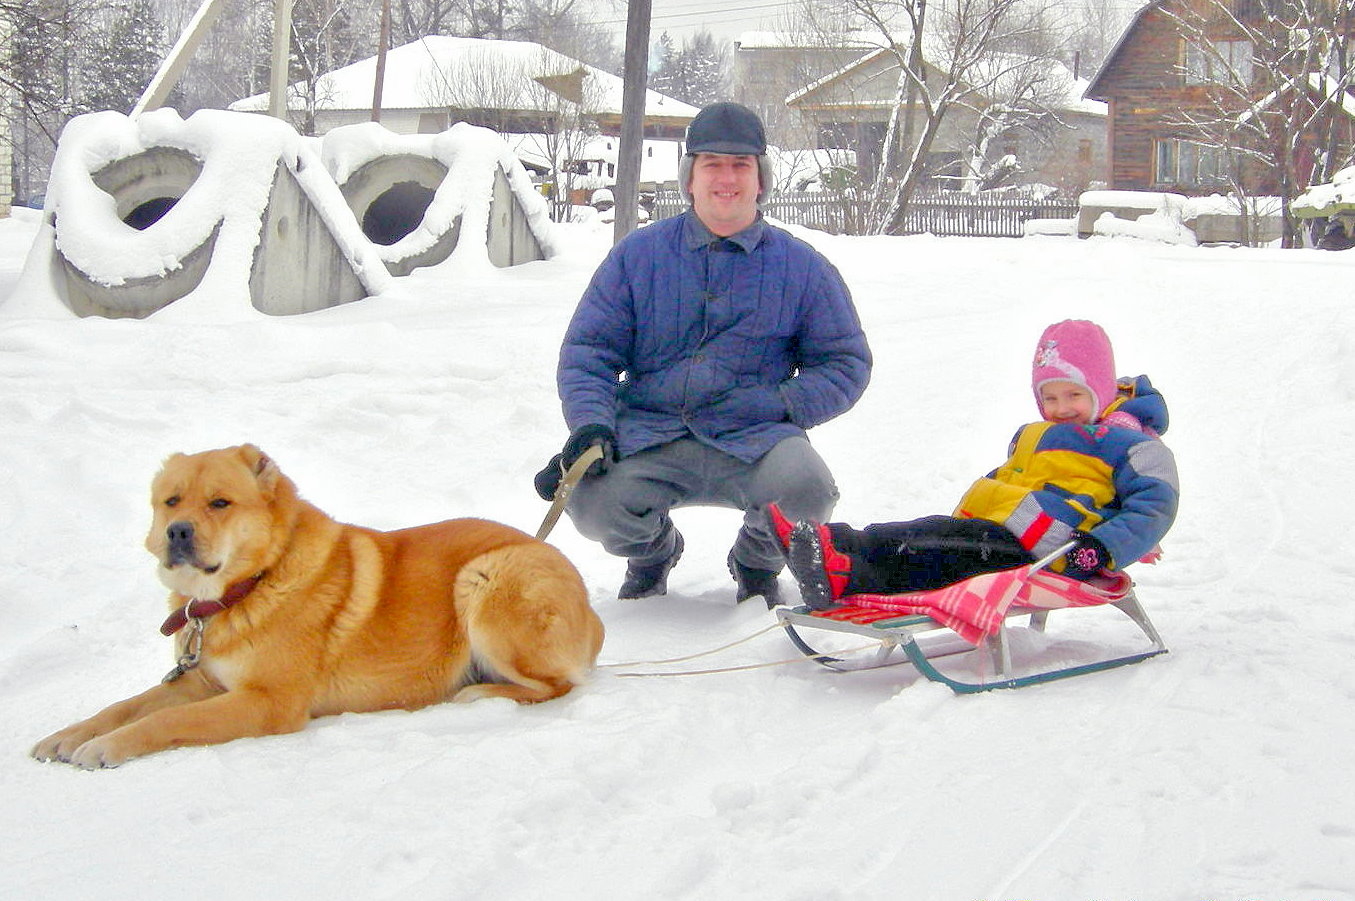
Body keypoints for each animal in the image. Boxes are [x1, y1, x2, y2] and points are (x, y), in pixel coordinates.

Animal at [30, 441, 604, 764]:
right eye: (171, 501)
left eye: (220, 502)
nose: (177, 532)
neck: (251, 585)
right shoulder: (201, 682)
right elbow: (125, 706)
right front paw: (68, 735)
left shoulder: (267, 702)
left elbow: (162, 722)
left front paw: (105, 747)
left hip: (484, 578)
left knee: (557, 686)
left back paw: (480, 693)